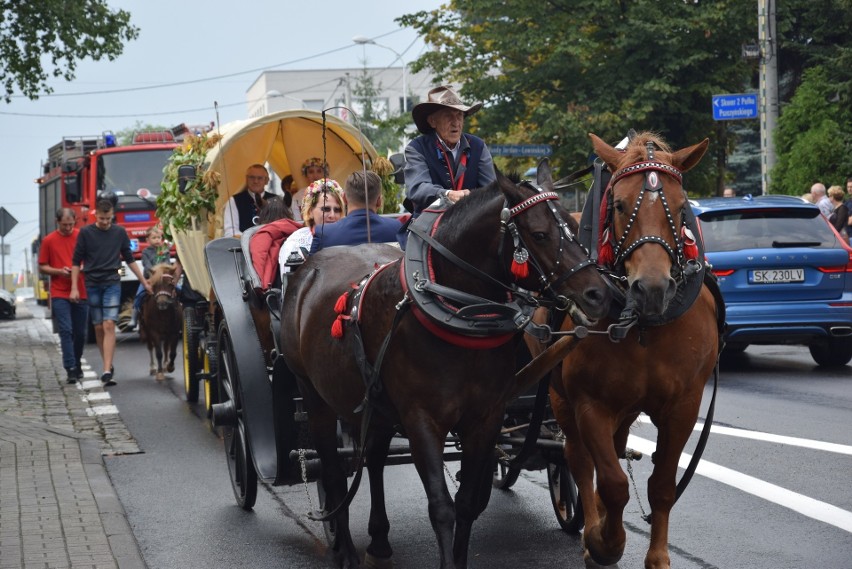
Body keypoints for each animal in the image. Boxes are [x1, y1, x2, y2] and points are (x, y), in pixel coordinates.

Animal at [280, 169, 612, 568]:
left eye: (575, 229)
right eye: (540, 234)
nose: (600, 294)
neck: (458, 314)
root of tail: (306, 269)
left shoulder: (486, 418)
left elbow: (466, 503)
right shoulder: (422, 421)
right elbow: (441, 507)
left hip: (376, 406)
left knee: (373, 459)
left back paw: (379, 539)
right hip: (315, 399)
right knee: (331, 473)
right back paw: (344, 549)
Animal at [544, 131, 724, 564]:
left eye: (681, 206)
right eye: (621, 204)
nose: (653, 289)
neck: (645, 327)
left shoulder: (682, 407)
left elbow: (662, 486)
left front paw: (657, 557)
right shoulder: (589, 404)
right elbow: (611, 481)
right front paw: (603, 541)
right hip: (561, 400)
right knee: (578, 460)